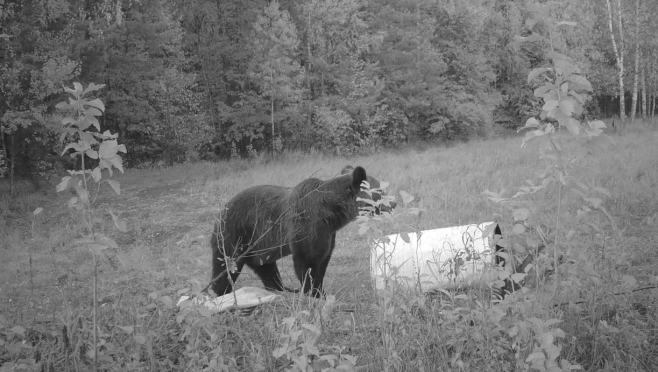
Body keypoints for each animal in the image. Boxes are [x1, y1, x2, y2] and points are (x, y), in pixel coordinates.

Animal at [209, 167, 366, 298]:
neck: (331, 213)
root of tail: (220, 212)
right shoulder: (307, 224)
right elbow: (307, 261)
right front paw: (312, 292)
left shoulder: (328, 234)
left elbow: (322, 261)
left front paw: (320, 291)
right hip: (235, 233)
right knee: (226, 264)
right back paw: (221, 292)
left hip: (258, 246)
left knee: (266, 268)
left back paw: (283, 288)